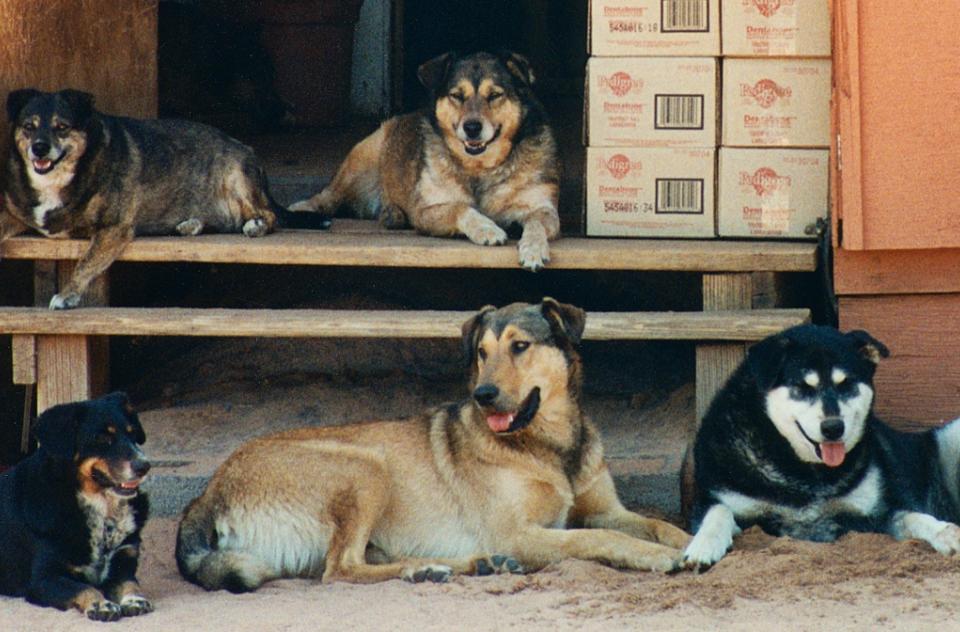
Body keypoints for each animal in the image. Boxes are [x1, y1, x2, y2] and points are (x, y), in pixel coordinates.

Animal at [0, 87, 330, 310]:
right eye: (28, 126)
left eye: (62, 127)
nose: (39, 148)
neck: (56, 179)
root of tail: (244, 146)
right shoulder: (15, 214)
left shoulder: (114, 228)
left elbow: (87, 262)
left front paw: (67, 295)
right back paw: (190, 225)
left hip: (236, 174)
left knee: (268, 215)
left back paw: (255, 225)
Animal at [0, 392, 151, 620]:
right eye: (102, 438)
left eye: (133, 434)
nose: (144, 466)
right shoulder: (45, 579)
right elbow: (83, 588)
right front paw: (101, 604)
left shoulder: (123, 565)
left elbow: (130, 584)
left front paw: (135, 600)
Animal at [176, 298, 688, 592]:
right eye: (481, 352)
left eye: (520, 346)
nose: (482, 395)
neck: (552, 446)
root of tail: (208, 491)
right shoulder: (517, 533)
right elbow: (599, 538)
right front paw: (657, 558)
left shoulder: (604, 509)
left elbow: (658, 525)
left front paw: (693, 543)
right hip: (366, 465)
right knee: (339, 567)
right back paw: (444, 567)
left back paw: (449, 567)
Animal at [292, 51, 564, 272]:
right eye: (457, 96)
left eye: (495, 95)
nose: (472, 127)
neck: (480, 167)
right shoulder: (425, 211)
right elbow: (459, 207)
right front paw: (487, 228)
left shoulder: (544, 208)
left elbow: (537, 223)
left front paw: (533, 249)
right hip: (362, 157)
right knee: (329, 195)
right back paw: (304, 208)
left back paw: (391, 214)